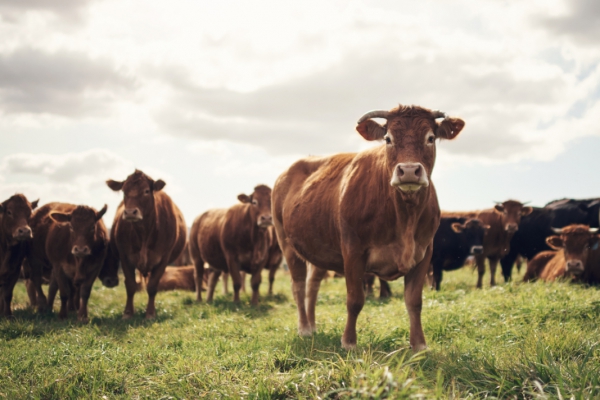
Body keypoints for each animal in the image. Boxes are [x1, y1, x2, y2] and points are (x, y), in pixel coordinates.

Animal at [105, 169, 185, 318]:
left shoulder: (163, 259)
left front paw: (150, 313)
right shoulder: (125, 257)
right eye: (124, 191)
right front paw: (128, 313)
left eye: (147, 191)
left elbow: (152, 286)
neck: (144, 233)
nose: (130, 212)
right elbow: (130, 285)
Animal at [270, 104, 464, 350]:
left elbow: (414, 301)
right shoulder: (353, 251)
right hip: (286, 242)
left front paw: (419, 345)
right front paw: (349, 342)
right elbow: (355, 300)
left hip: (319, 248)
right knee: (298, 286)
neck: (404, 217)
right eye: (388, 139)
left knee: (312, 286)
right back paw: (304, 328)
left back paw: (313, 326)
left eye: (430, 138)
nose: (409, 170)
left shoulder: (424, 252)